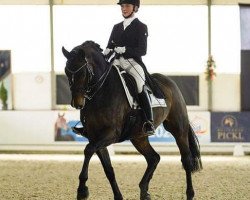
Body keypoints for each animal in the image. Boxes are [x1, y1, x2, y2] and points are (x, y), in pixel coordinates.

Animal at [61, 40, 202, 200]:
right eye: (66, 72)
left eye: (83, 72)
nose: (77, 103)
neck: (102, 91)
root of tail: (170, 82)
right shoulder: (95, 137)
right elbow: (108, 169)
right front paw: (118, 196)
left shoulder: (111, 134)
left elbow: (88, 150)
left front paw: (82, 190)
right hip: (139, 136)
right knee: (154, 158)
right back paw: (144, 191)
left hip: (178, 129)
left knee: (186, 160)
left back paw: (189, 193)